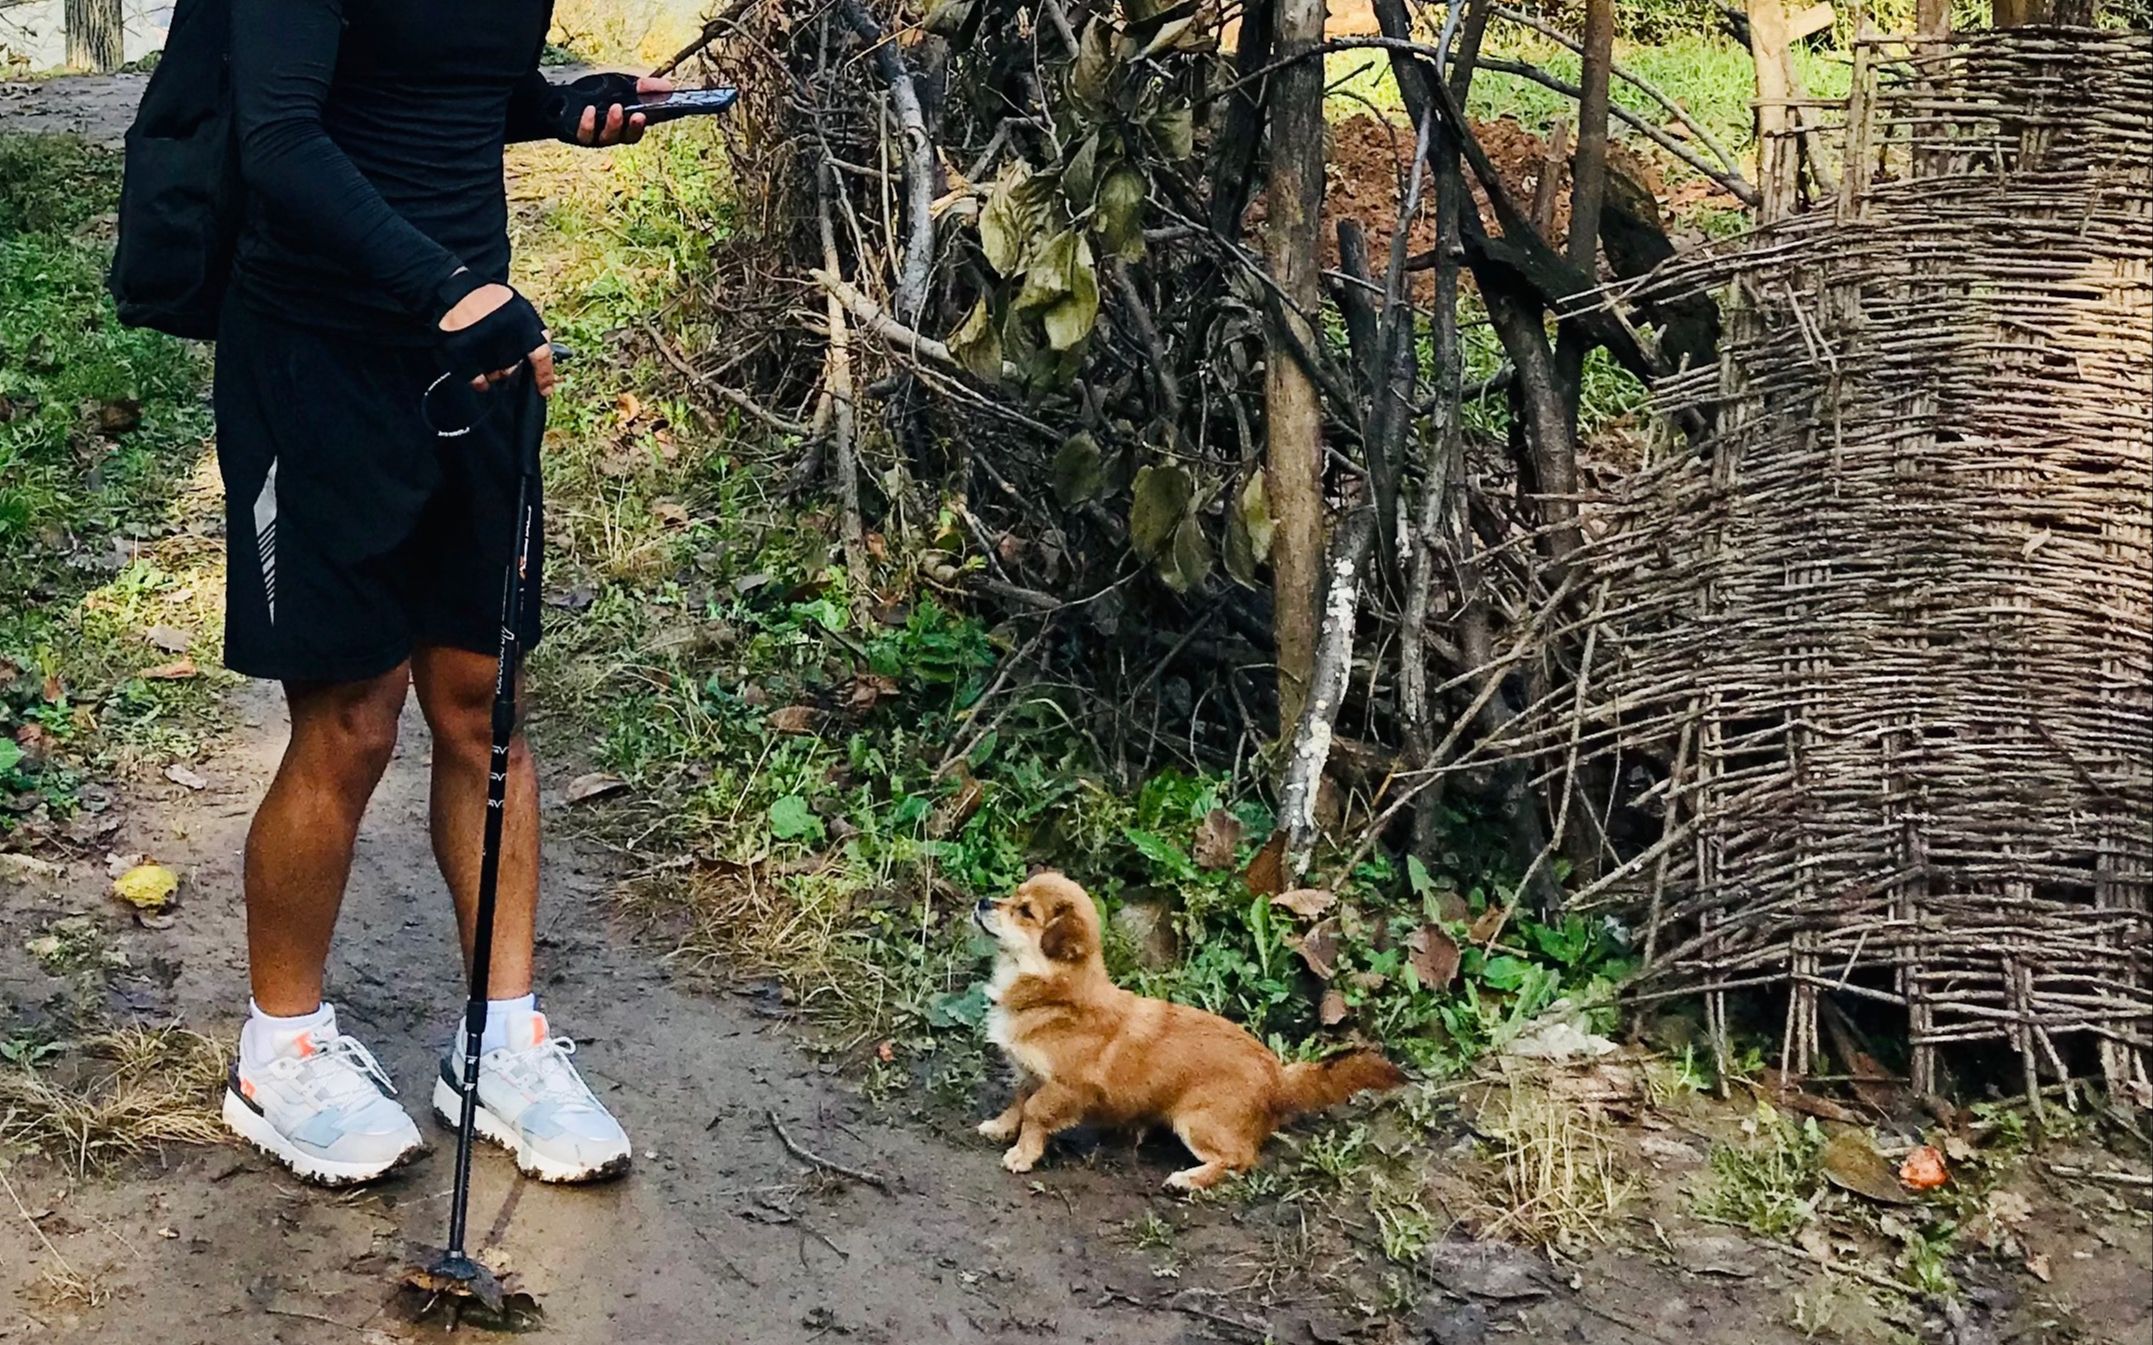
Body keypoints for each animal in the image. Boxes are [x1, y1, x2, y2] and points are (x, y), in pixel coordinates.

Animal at [968, 869, 1403, 1187]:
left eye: (1025, 912)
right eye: (1012, 896)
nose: (983, 901)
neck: (1053, 995)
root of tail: (1278, 1077)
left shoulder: (1065, 1088)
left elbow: (1036, 1114)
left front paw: (1023, 1154)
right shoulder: (1031, 1074)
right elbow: (1018, 1102)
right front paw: (1000, 1127)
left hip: (1196, 1122)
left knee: (1240, 1159)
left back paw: (1189, 1179)